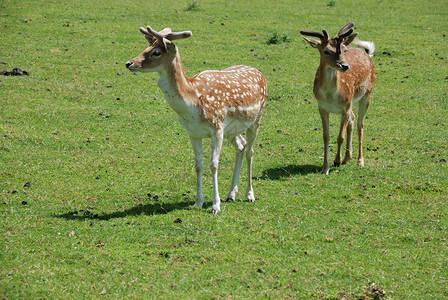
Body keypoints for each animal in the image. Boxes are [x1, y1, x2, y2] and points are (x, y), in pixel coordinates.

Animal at [126, 25, 266, 213]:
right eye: (146, 47)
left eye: (156, 52)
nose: (129, 63)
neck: (193, 102)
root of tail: (260, 73)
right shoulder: (193, 132)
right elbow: (198, 165)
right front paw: (198, 202)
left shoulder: (217, 127)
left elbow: (213, 165)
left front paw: (215, 206)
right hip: (232, 129)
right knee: (241, 146)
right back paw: (231, 194)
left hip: (256, 119)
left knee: (250, 151)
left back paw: (249, 195)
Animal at [300, 22, 374, 175]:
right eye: (326, 51)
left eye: (344, 50)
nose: (345, 65)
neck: (331, 97)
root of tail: (367, 53)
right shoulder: (322, 107)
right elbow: (325, 136)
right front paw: (325, 168)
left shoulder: (345, 106)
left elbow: (340, 137)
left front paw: (336, 161)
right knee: (352, 119)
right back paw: (347, 158)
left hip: (367, 94)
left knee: (360, 124)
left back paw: (360, 161)